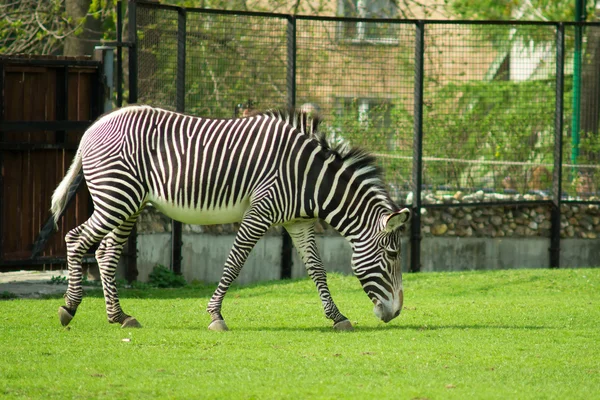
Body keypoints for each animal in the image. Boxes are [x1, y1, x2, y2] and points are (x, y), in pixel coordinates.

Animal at [51, 104, 410, 332]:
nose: (395, 313)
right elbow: (234, 263)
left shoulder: (299, 222)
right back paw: (69, 308)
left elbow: (317, 270)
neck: (307, 178)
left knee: (105, 253)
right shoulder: (260, 212)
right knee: (76, 239)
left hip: (130, 203)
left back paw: (120, 316)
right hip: (117, 197)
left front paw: (337, 317)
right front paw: (215, 316)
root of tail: (93, 128)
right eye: (393, 255)